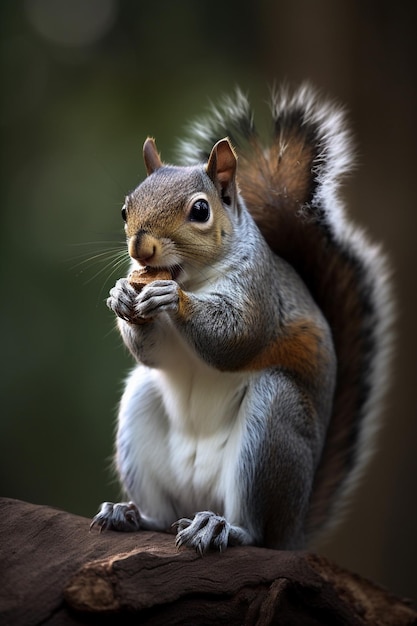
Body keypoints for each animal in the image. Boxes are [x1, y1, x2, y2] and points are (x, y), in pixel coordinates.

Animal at [91, 84, 394, 552]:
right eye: (126, 210)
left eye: (200, 211)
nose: (141, 249)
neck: (193, 277)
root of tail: (293, 530)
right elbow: (152, 355)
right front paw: (122, 295)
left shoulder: (259, 294)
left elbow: (235, 338)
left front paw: (171, 298)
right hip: (139, 413)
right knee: (163, 516)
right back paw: (130, 514)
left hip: (271, 428)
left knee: (254, 530)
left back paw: (220, 528)